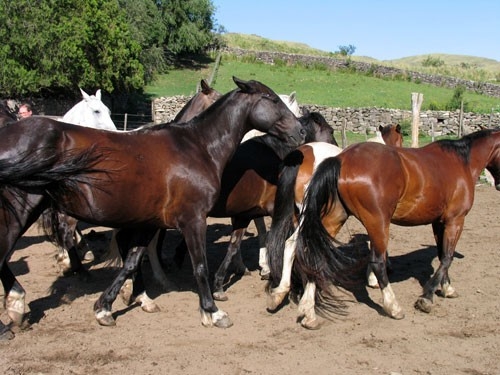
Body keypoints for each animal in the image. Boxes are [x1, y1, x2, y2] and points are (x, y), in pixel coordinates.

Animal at [0, 77, 304, 340]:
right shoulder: (193, 219)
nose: (299, 132)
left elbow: (132, 261)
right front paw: (212, 311)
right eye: (272, 99)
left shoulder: (150, 222)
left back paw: (18, 303)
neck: (198, 148)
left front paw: (106, 307)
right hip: (19, 211)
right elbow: (200, 266)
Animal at [266, 124, 402, 328]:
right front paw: (373, 278)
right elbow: (375, 244)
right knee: (296, 244)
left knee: (291, 245)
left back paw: (284, 292)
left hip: (299, 216)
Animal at [292, 127, 500, 328]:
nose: (498, 185)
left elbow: (442, 255)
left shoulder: (439, 222)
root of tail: (342, 158)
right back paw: (393, 306)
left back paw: (308, 313)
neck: (461, 162)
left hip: (336, 218)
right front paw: (427, 298)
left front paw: (447, 288)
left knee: (315, 256)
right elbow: (447, 257)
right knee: (378, 262)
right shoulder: (455, 220)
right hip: (378, 223)